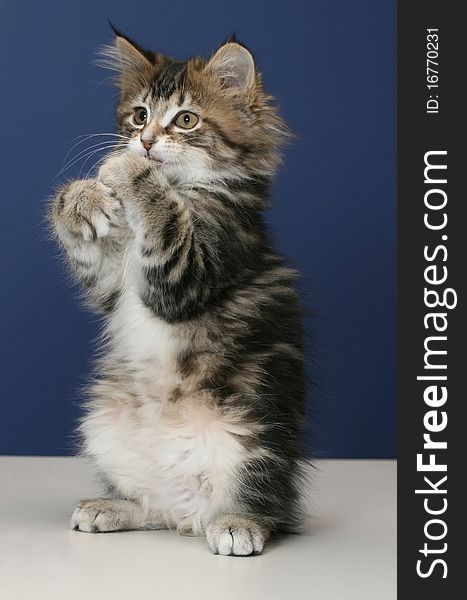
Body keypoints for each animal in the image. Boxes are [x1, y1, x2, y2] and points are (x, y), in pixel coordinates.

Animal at [51, 30, 308, 556]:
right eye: (139, 115)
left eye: (186, 120)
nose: (146, 141)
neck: (186, 188)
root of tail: (189, 510)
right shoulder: (110, 284)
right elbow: (87, 245)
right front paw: (82, 199)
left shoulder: (193, 270)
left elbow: (162, 213)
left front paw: (126, 168)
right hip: (104, 422)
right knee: (153, 510)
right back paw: (114, 507)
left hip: (257, 431)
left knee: (263, 501)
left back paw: (238, 524)